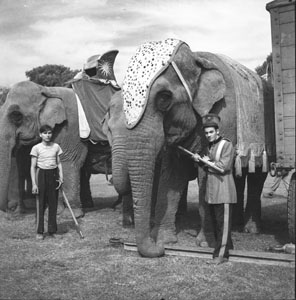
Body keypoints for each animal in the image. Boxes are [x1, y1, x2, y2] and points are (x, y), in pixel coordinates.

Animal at [110, 38, 274, 258]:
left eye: (164, 98)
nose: (157, 248)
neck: (196, 59)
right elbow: (171, 175)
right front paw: (165, 239)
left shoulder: (225, 113)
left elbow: (208, 173)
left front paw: (204, 243)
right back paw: (236, 225)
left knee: (257, 177)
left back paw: (251, 229)